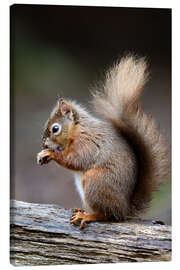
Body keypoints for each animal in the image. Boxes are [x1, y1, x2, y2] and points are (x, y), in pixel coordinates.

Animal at [36, 56, 170, 229]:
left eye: (55, 128)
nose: (44, 145)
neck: (78, 130)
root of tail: (124, 209)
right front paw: (42, 154)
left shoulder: (88, 144)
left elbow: (75, 160)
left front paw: (50, 153)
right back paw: (82, 210)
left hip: (95, 182)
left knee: (107, 215)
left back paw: (88, 216)